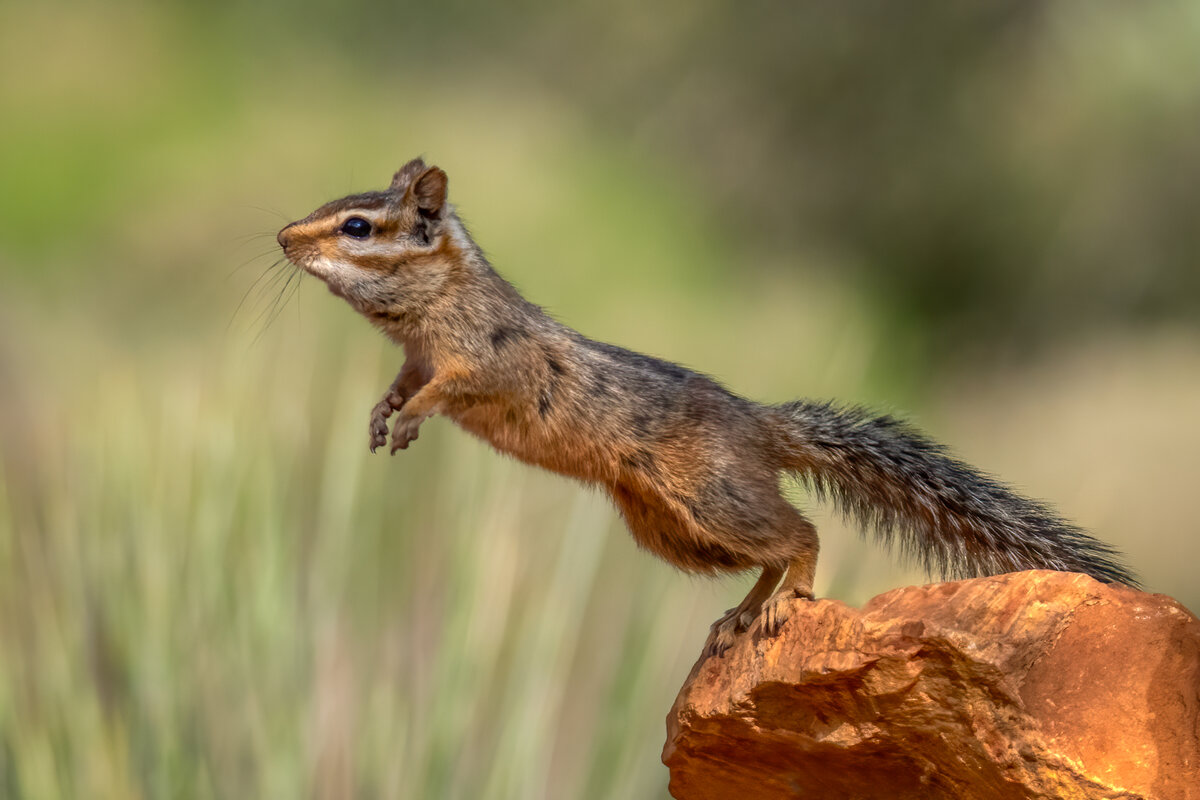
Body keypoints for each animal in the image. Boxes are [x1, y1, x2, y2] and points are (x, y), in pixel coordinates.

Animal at [277, 157, 1137, 656]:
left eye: (359, 226)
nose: (283, 236)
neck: (431, 309)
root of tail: (759, 423)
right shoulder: (415, 356)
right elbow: (400, 384)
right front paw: (381, 415)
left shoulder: (480, 360)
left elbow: (448, 389)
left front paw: (411, 419)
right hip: (672, 529)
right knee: (770, 552)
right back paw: (741, 616)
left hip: (709, 497)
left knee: (800, 537)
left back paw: (785, 604)